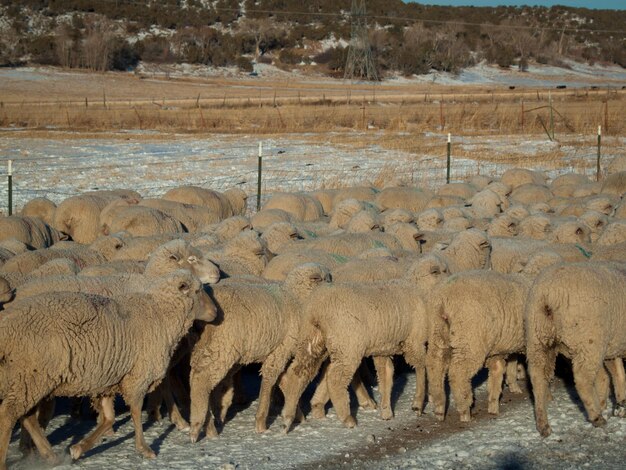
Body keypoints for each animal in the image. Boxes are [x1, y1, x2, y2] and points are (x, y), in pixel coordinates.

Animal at [0, 270, 216, 464]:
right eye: (198, 291)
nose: (216, 312)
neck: (160, 315)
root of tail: (6, 327)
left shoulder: (108, 379)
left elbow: (109, 418)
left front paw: (78, 448)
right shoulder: (137, 376)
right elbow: (135, 411)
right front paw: (144, 449)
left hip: (29, 380)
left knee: (26, 417)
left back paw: (50, 456)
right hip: (31, 376)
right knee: (8, 417)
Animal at [186, 262, 330, 438]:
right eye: (322, 279)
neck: (295, 298)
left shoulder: (277, 351)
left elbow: (282, 380)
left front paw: (298, 415)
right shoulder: (281, 348)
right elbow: (270, 379)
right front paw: (261, 422)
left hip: (205, 347)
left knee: (197, 378)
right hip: (221, 346)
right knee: (201, 380)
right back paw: (202, 428)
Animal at [280, 255, 448, 432]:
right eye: (440, 271)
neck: (419, 290)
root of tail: (317, 308)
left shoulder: (383, 348)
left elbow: (386, 375)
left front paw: (386, 411)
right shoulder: (414, 341)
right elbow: (421, 367)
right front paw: (418, 403)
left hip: (313, 341)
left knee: (298, 374)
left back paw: (289, 417)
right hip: (348, 345)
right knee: (335, 378)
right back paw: (347, 418)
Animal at [426, 270, 528, 420]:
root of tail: (443, 298)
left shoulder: (501, 349)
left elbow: (498, 372)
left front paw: (494, 405)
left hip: (437, 334)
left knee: (435, 366)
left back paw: (439, 408)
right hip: (469, 341)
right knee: (459, 373)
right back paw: (465, 412)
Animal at [524, 260, 624, 436]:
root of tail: (549, 292)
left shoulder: (613, 345)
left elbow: (616, 373)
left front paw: (620, 406)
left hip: (537, 338)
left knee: (537, 378)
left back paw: (543, 425)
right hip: (590, 340)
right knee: (583, 378)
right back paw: (597, 417)